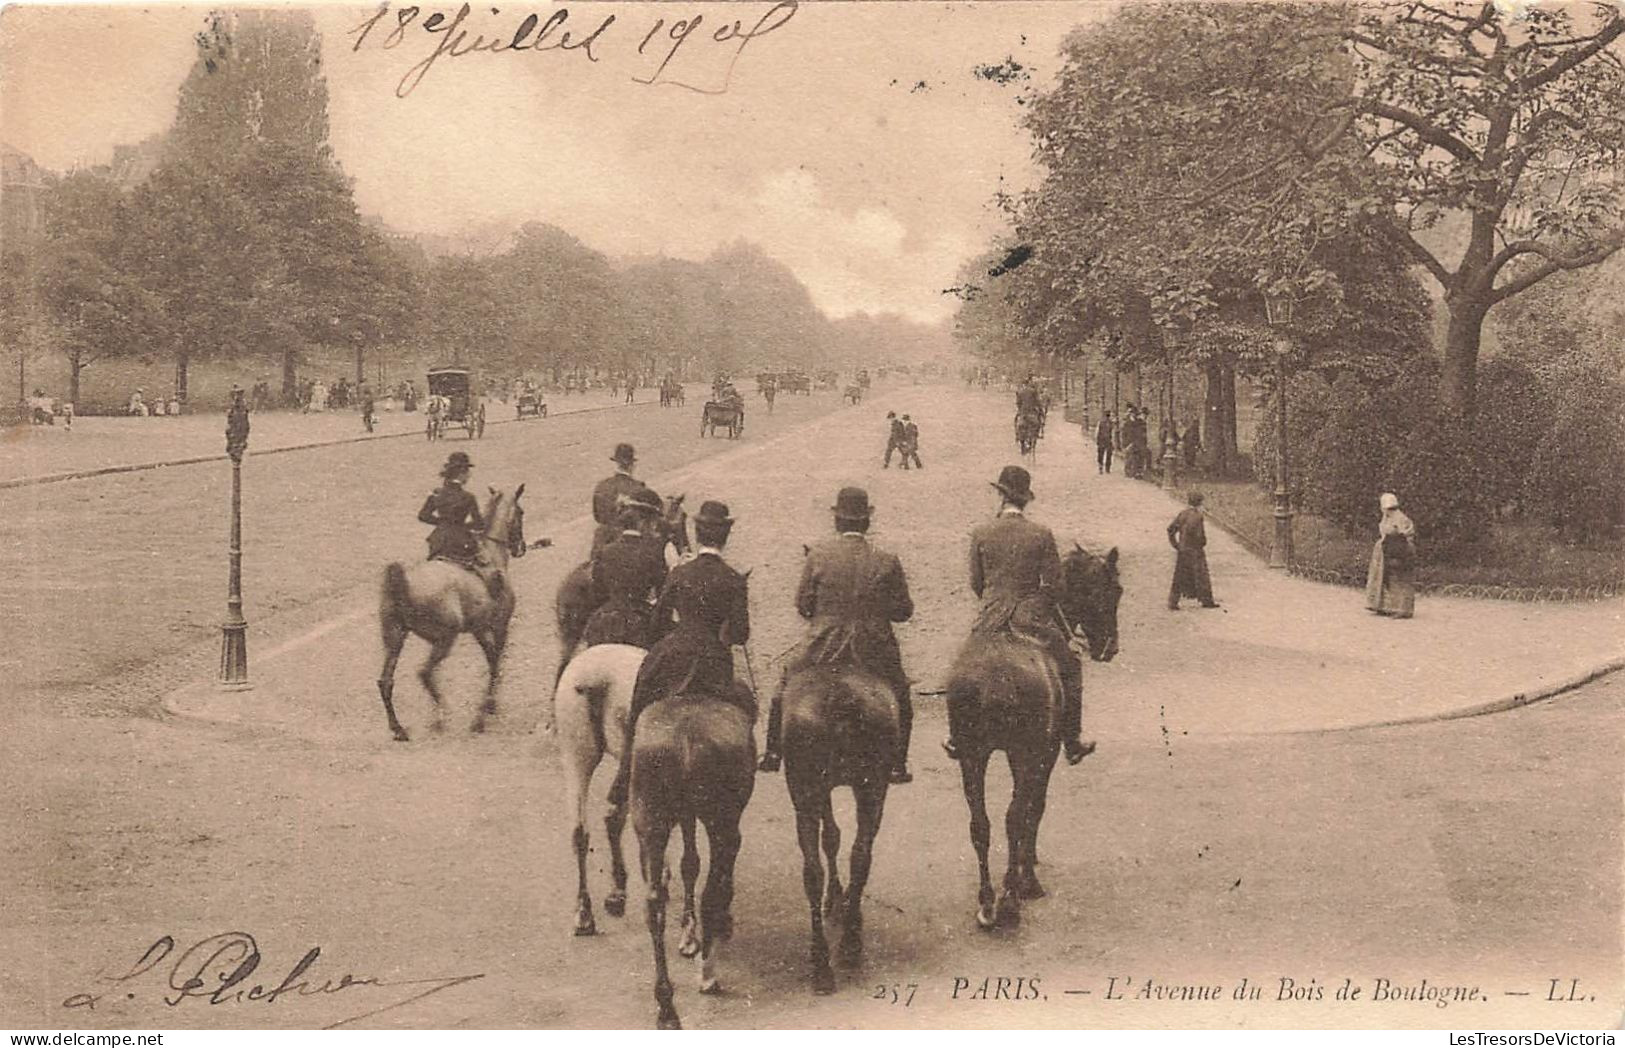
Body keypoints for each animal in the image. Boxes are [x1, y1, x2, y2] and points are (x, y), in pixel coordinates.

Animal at [373, 487, 526, 740]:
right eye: (521, 513)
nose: (520, 547)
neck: (491, 554)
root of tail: (402, 582)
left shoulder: (479, 630)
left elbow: (492, 660)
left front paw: (489, 707)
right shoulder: (499, 626)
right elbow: (495, 663)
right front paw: (484, 712)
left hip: (395, 638)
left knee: (386, 681)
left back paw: (399, 728)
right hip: (444, 638)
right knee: (424, 673)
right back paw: (440, 716)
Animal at [633, 692, 760, 1026]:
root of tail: (685, 741)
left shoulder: (686, 814)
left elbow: (689, 862)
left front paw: (688, 934)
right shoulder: (723, 825)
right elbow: (714, 879)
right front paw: (716, 926)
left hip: (650, 820)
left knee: (654, 905)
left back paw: (666, 1006)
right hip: (722, 823)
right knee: (711, 892)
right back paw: (707, 975)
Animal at [776, 666, 897, 994]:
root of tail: (842, 698)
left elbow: (830, 837)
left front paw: (837, 899)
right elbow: (834, 838)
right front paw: (840, 901)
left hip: (810, 790)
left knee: (817, 870)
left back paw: (826, 959)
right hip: (869, 788)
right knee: (859, 857)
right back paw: (845, 948)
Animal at [942, 542, 1118, 929]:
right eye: (1115, 591)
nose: (1110, 649)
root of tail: (996, 677)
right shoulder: (1043, 751)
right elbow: (1034, 809)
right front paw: (1028, 875)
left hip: (972, 755)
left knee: (980, 823)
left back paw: (987, 901)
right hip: (1026, 751)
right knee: (1013, 815)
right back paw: (1010, 899)